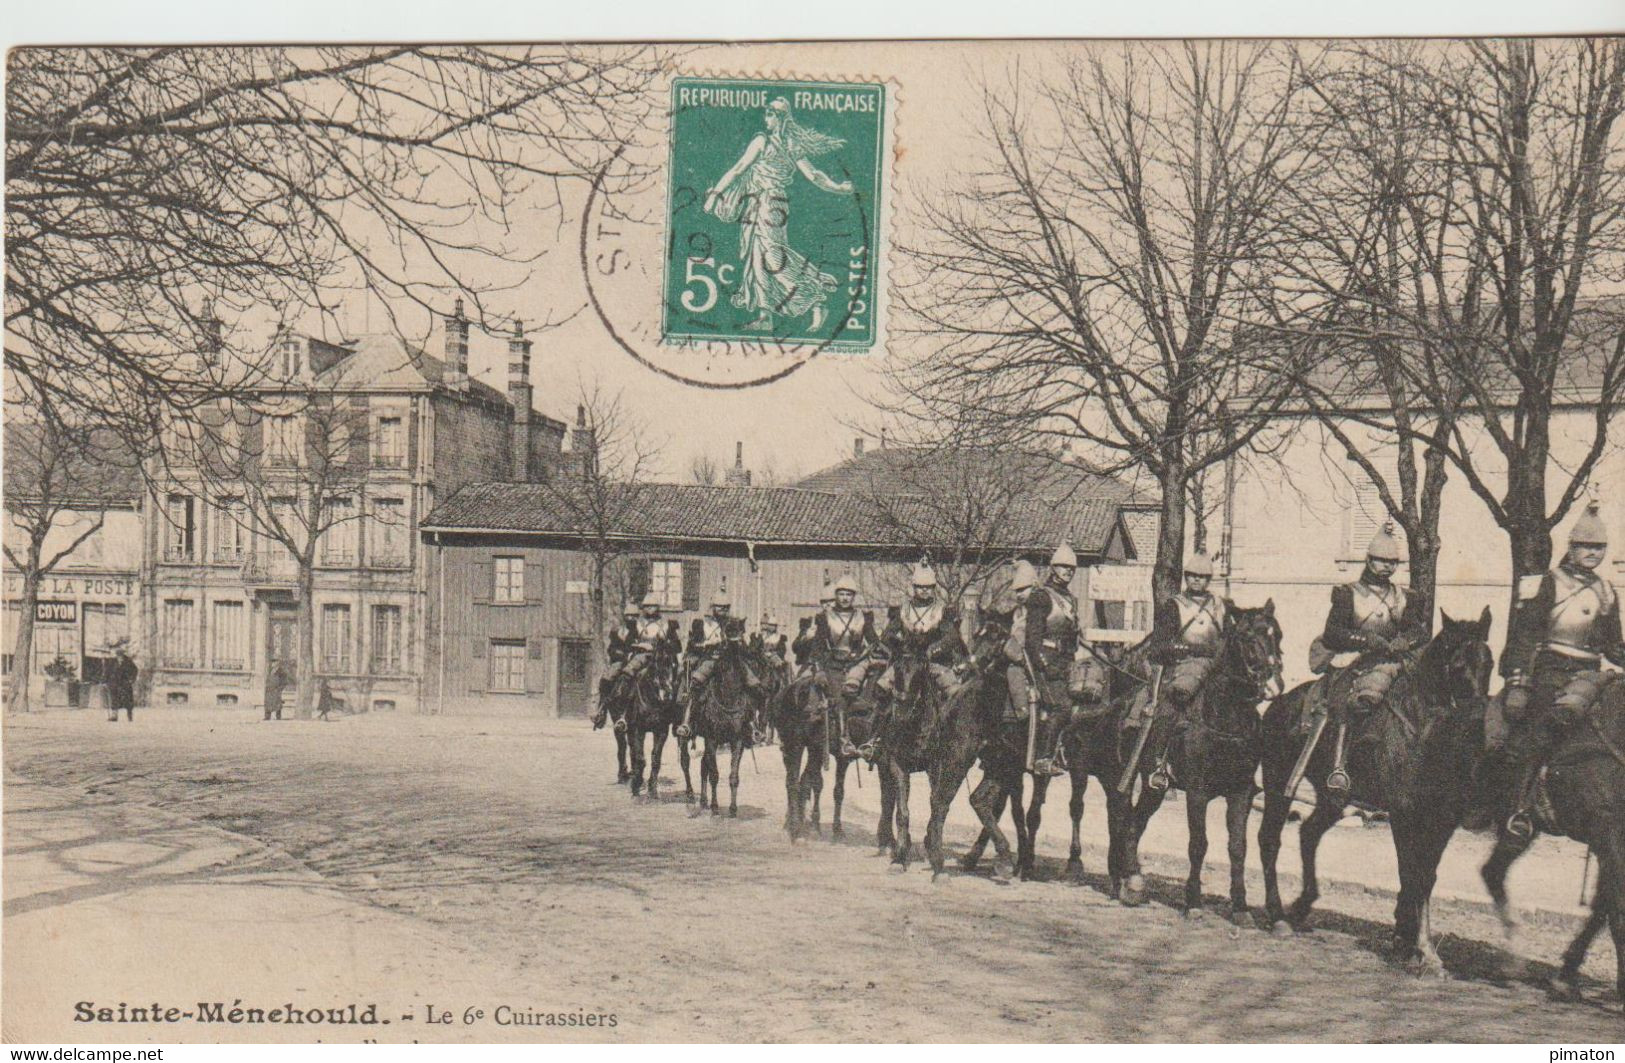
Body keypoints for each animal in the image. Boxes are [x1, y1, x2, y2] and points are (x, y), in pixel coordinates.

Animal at [1254, 607, 1495, 975]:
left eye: (1490, 663)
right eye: (1456, 666)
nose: (1480, 720)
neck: (1425, 733)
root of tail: (1279, 705)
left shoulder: (1441, 821)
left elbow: (1427, 877)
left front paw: (1412, 942)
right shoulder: (1404, 814)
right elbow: (1411, 875)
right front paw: (1418, 948)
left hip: (1333, 799)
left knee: (1309, 833)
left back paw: (1302, 904)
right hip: (1278, 785)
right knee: (1270, 838)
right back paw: (1278, 914)